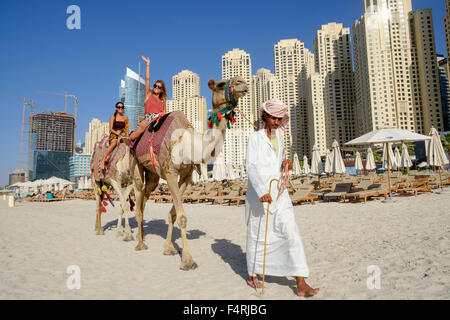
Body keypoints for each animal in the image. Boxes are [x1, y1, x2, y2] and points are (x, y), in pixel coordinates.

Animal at [130, 77, 250, 270]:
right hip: (136, 163)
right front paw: (187, 260)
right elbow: (182, 217)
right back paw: (140, 243)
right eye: (221, 84)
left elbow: (173, 214)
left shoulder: (186, 175)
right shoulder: (170, 172)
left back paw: (142, 236)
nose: (242, 82)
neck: (190, 143)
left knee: (145, 198)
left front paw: (169, 248)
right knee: (139, 193)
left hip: (153, 175)